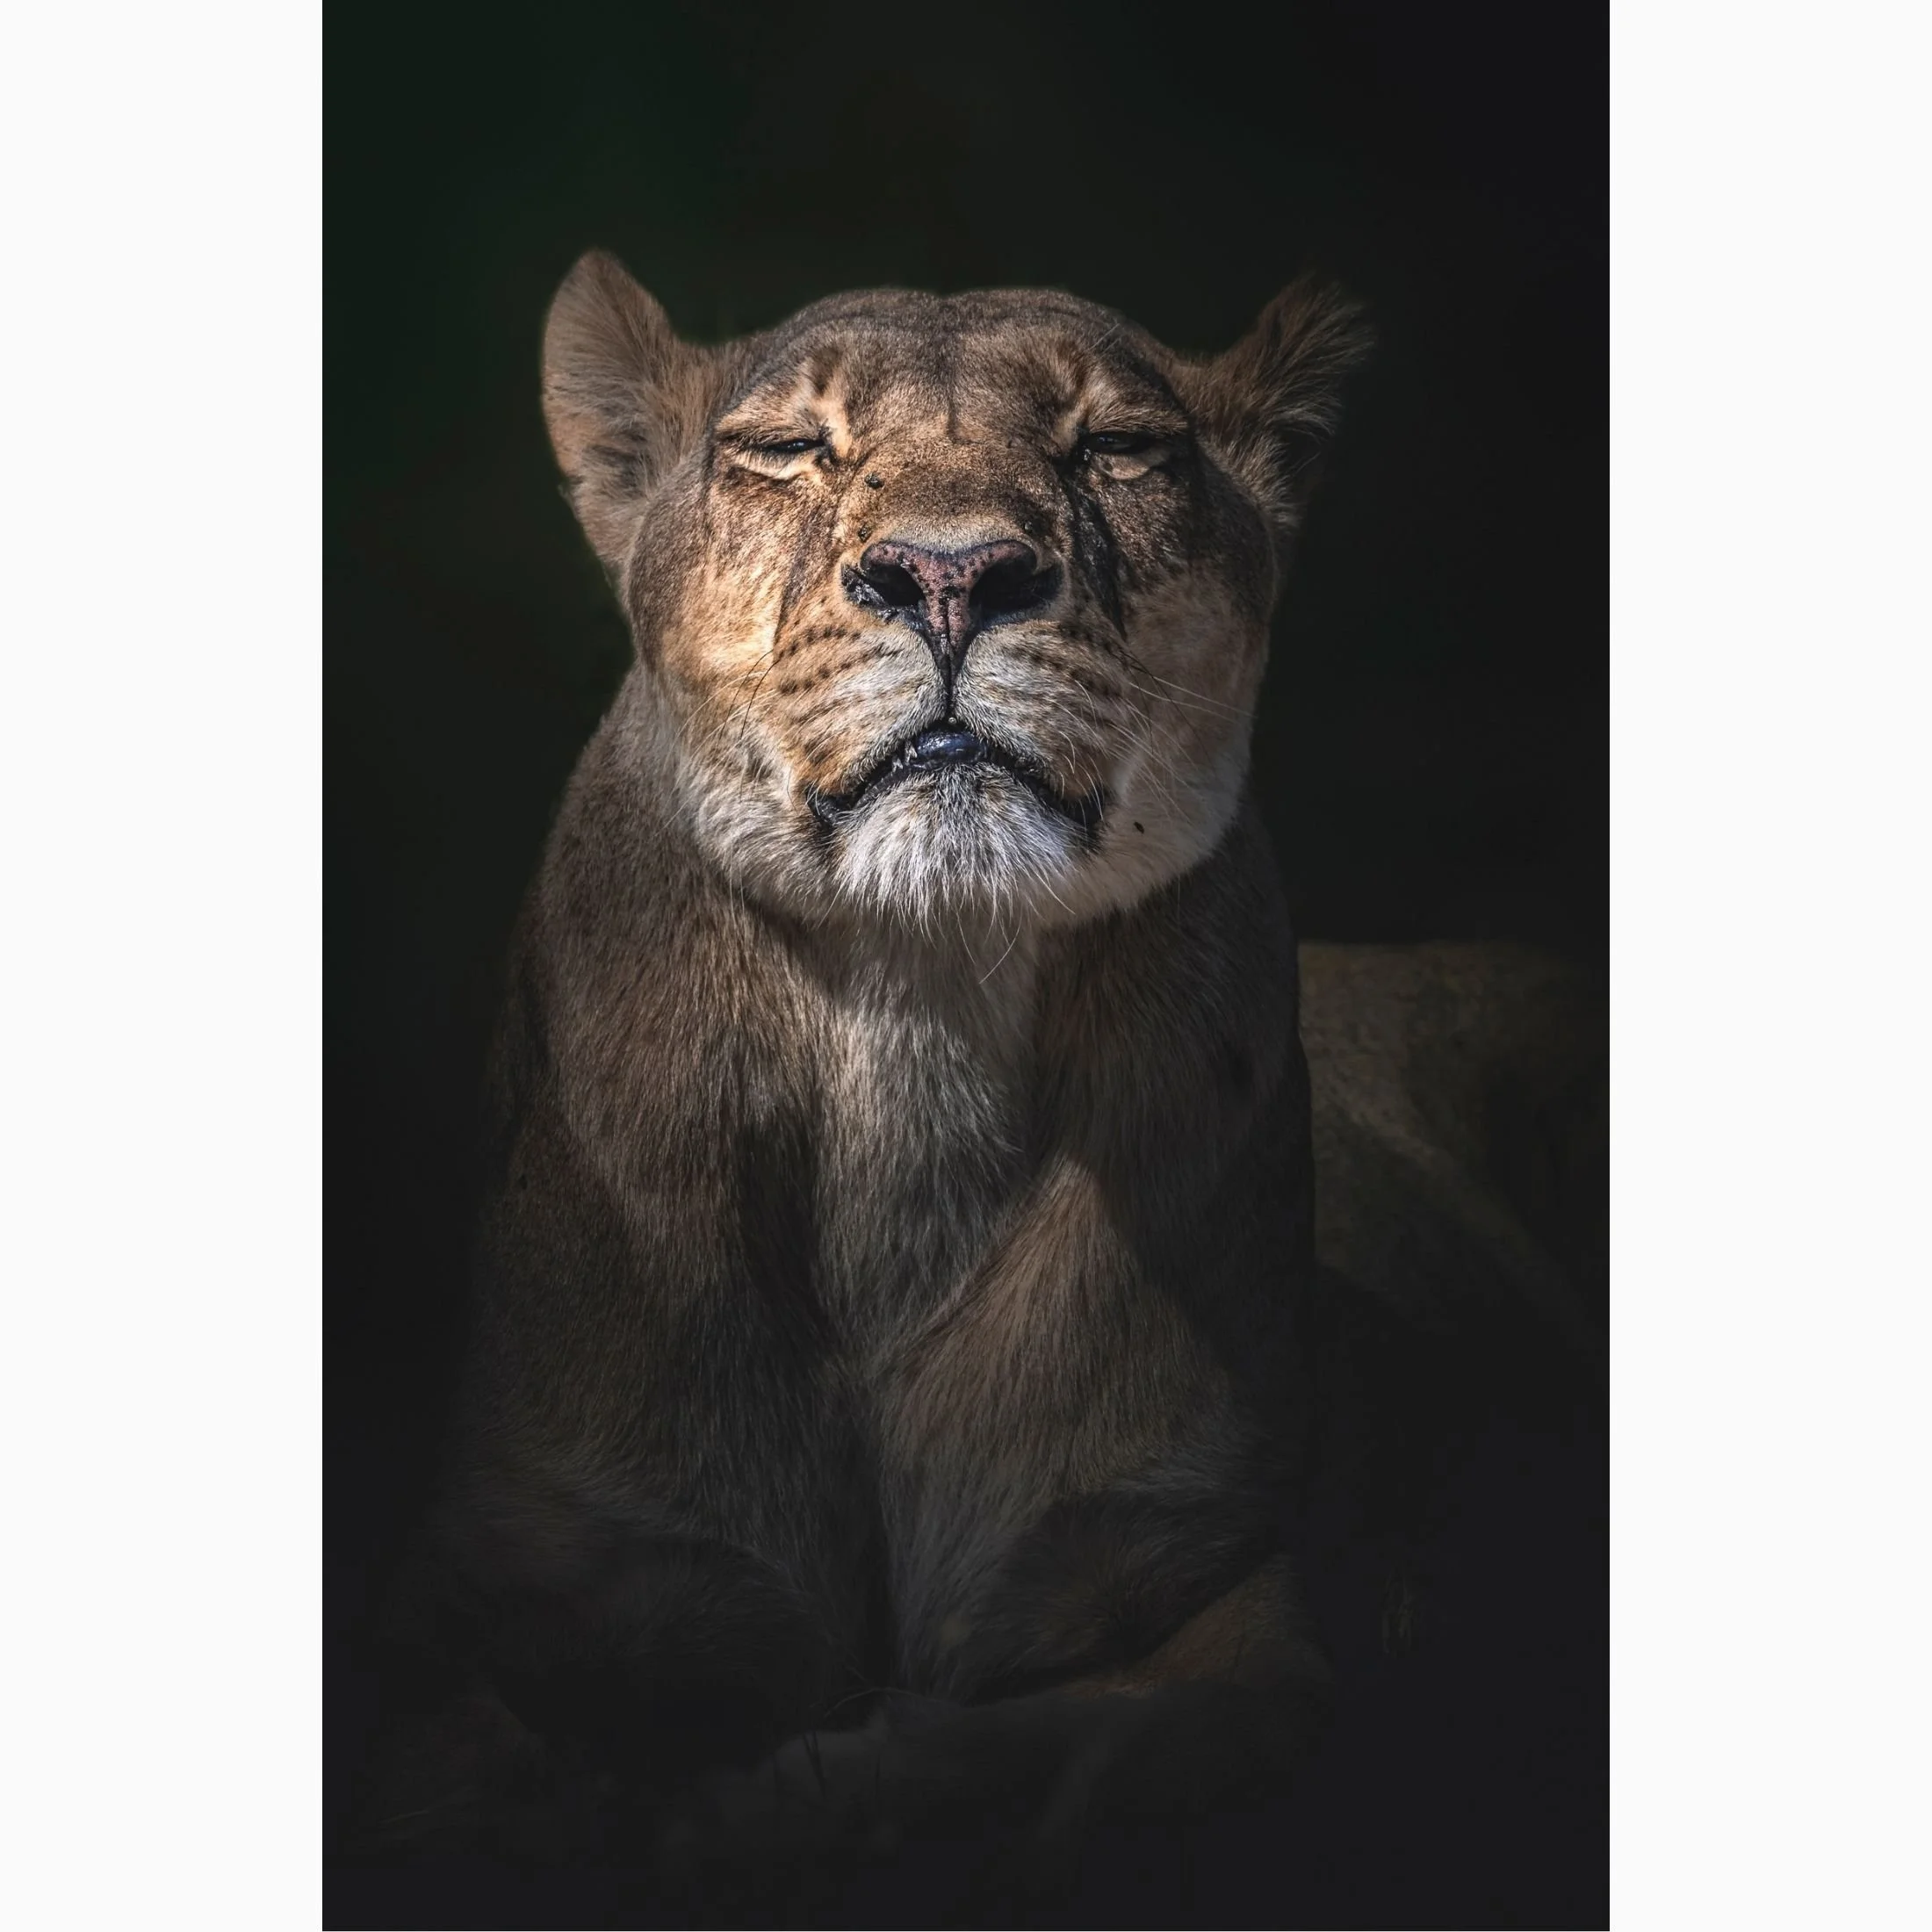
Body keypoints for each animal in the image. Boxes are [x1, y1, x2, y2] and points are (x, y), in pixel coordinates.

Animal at [350, 252, 1596, 1899]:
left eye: (1118, 447)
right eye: (786, 451)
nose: (951, 578)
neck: (915, 1018)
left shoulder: (1208, 1563)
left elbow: (1147, 1739)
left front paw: (797, 1800)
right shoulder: (518, 1571)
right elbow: (457, 1763)